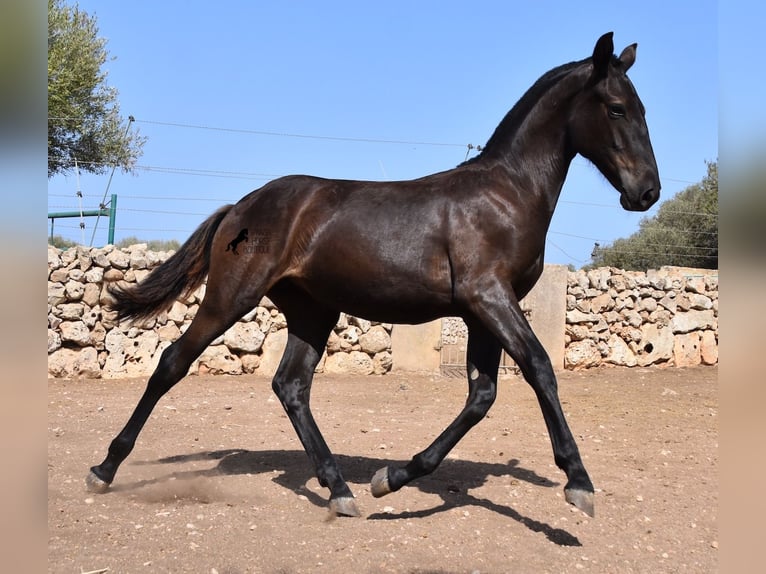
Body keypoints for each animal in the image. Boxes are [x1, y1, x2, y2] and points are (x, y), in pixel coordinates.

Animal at [84, 33, 660, 524]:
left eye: (643, 110)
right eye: (616, 108)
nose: (647, 192)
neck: (505, 194)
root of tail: (241, 206)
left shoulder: (484, 312)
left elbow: (482, 395)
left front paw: (392, 477)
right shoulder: (489, 297)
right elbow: (540, 368)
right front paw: (578, 482)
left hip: (313, 310)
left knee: (290, 386)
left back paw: (340, 490)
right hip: (232, 296)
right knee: (172, 363)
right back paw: (103, 469)